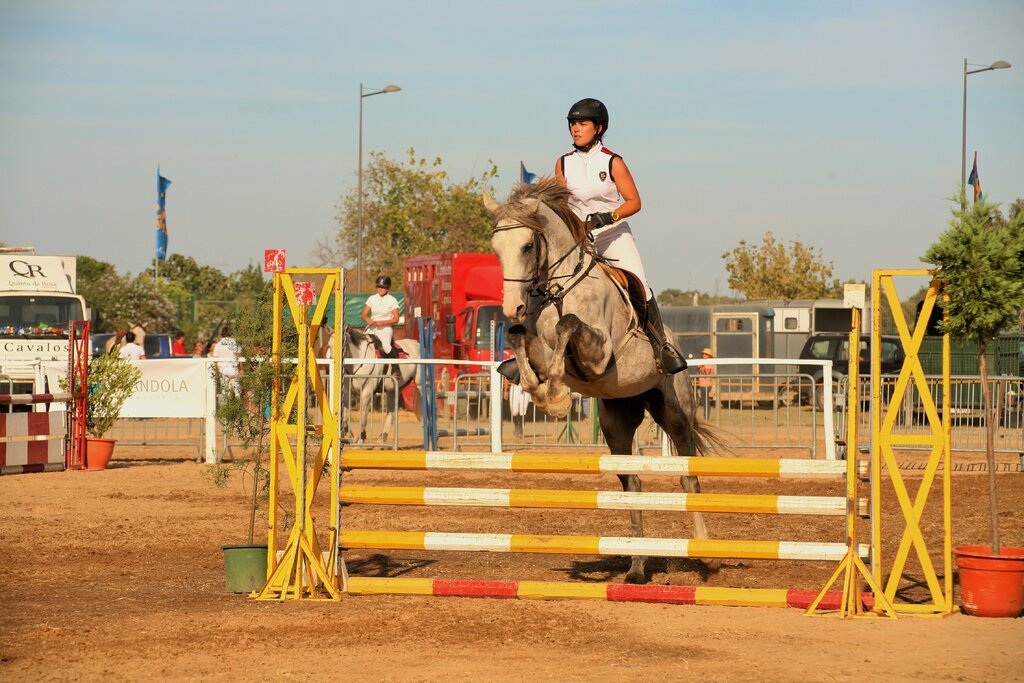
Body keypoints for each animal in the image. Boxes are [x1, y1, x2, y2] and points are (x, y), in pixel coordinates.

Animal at [483, 179, 716, 585]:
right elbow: (519, 338)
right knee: (632, 486)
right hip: (616, 422)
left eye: (528, 246)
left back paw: (701, 553)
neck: (560, 289)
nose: (512, 307)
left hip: (674, 413)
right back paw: (637, 568)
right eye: (496, 249)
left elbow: (568, 324)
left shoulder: (599, 355)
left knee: (689, 479)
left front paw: (556, 396)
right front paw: (541, 390)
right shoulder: (540, 345)